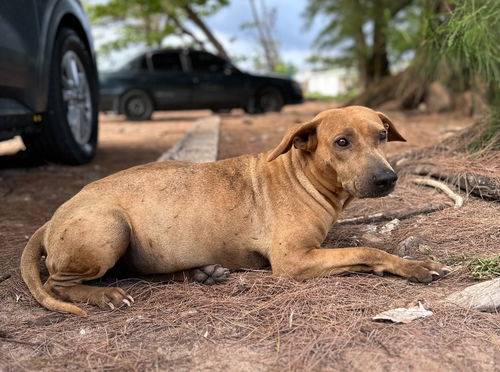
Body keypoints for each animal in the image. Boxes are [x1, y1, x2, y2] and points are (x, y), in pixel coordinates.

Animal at [19, 106, 450, 316]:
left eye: (382, 135)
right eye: (342, 142)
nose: (388, 178)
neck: (301, 175)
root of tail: (53, 217)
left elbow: (364, 244)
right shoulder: (293, 262)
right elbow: (368, 250)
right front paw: (415, 266)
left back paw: (201, 273)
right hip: (110, 227)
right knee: (58, 283)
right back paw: (101, 296)